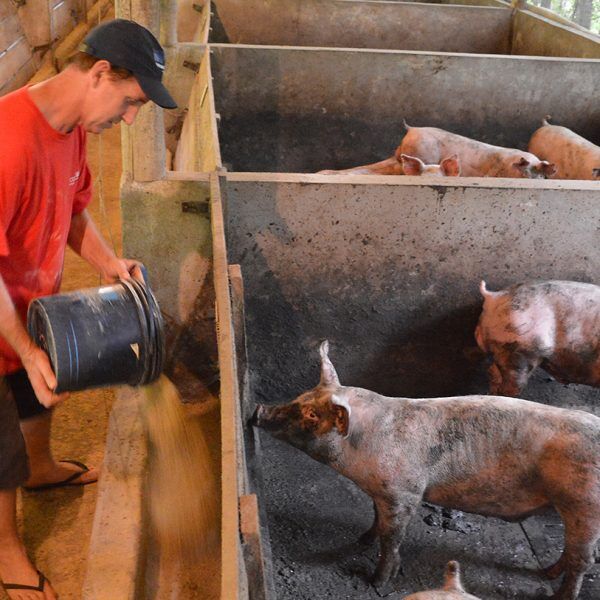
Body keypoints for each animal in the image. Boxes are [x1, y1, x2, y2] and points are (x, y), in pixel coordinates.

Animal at [251, 340, 600, 596]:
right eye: (300, 397)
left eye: (311, 415)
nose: (257, 409)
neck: (364, 444)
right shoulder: (381, 491)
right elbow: (375, 518)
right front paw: (362, 540)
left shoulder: (403, 492)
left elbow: (392, 538)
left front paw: (376, 582)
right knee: (572, 552)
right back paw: (547, 572)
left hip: (583, 504)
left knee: (583, 560)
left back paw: (559, 594)